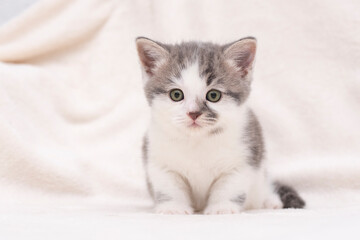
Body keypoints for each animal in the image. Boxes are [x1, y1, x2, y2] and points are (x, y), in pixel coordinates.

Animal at [135, 37, 304, 214]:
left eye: (214, 95)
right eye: (176, 94)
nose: (193, 113)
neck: (198, 141)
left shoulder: (243, 158)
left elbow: (229, 187)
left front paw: (222, 208)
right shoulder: (158, 159)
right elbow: (168, 187)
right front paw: (173, 208)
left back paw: (270, 201)